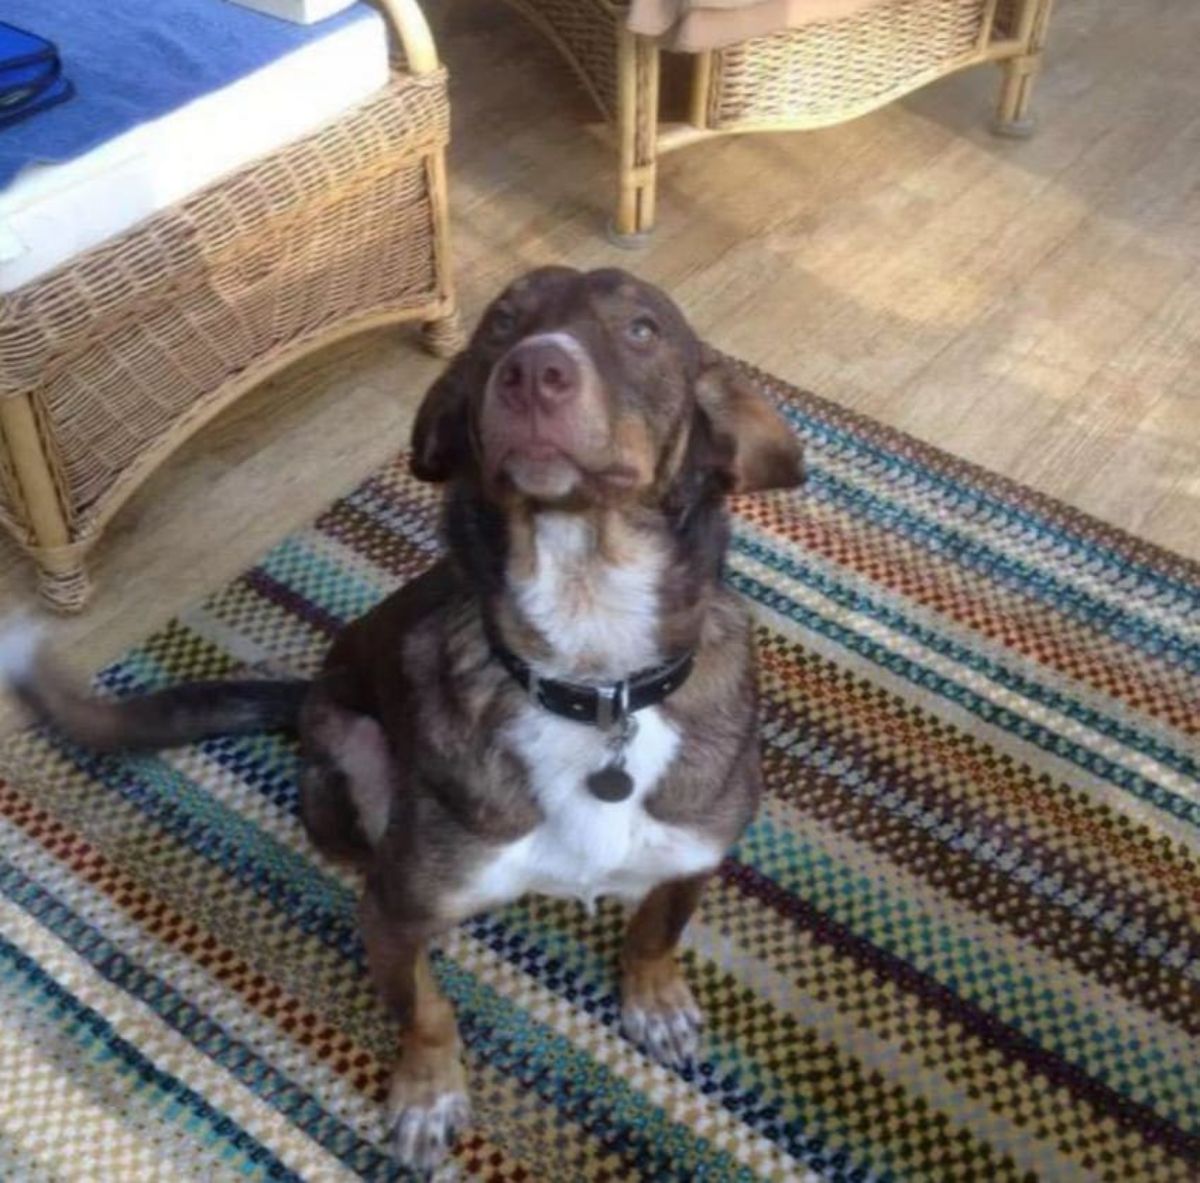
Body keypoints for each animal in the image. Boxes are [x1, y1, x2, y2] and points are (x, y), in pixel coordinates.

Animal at [4, 265, 806, 1171]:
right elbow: (425, 1010)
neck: (590, 667)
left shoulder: (697, 853)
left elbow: (656, 930)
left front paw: (656, 998)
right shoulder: (395, 910)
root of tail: (308, 690)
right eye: (500, 325)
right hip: (351, 754)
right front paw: (427, 1095)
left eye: (642, 330)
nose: (533, 372)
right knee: (363, 859)